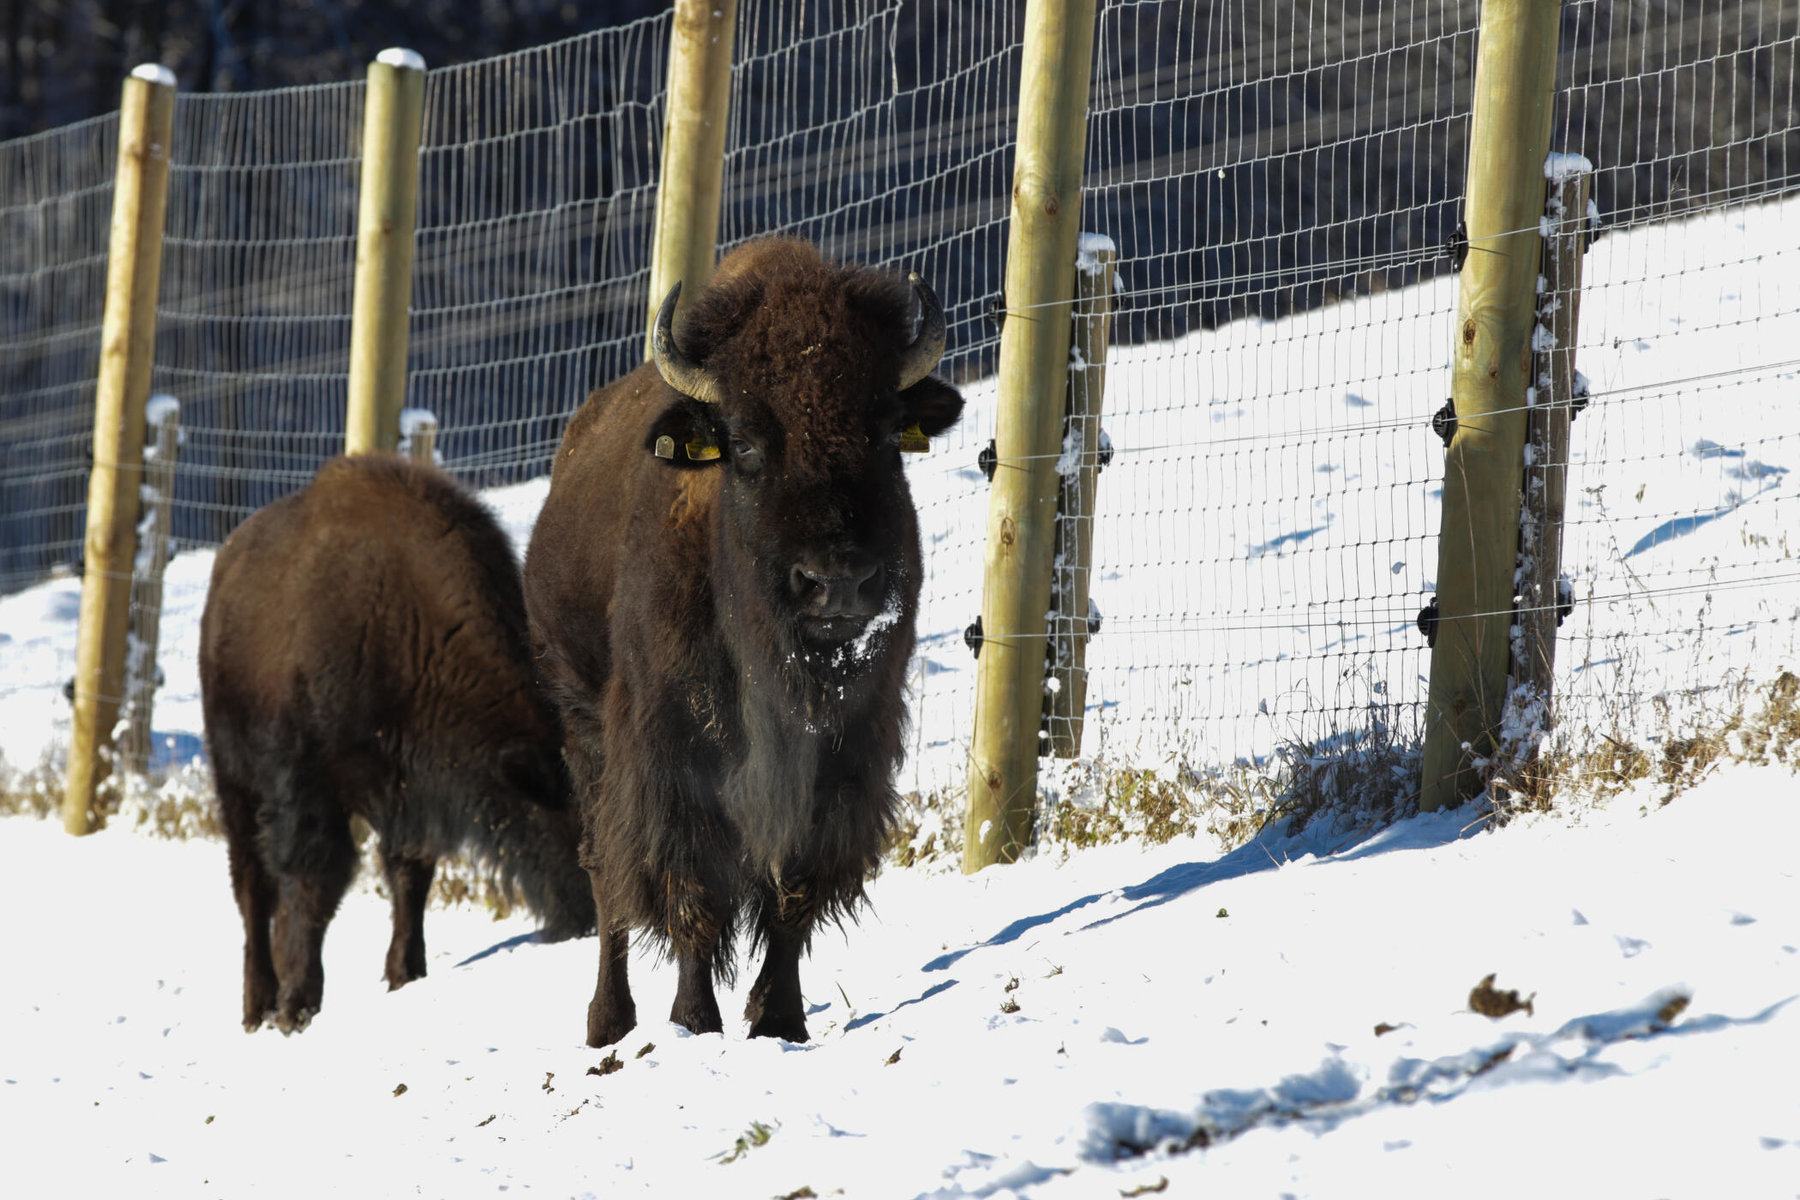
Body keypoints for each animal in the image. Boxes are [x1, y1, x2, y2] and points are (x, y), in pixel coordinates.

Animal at [198, 455, 590, 1036]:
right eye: (575, 825)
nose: (595, 918)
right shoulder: (307, 786)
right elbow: (314, 883)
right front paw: (297, 1006)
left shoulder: (405, 791)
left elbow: (410, 875)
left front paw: (406, 974)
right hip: (236, 783)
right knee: (253, 887)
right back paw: (257, 1005)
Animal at [525, 232, 964, 1043]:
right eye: (749, 445)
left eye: (888, 434)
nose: (836, 582)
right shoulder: (671, 754)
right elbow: (691, 889)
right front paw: (695, 1023)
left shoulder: (845, 750)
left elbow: (794, 886)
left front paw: (778, 1021)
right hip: (582, 726)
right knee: (605, 871)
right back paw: (609, 1021)